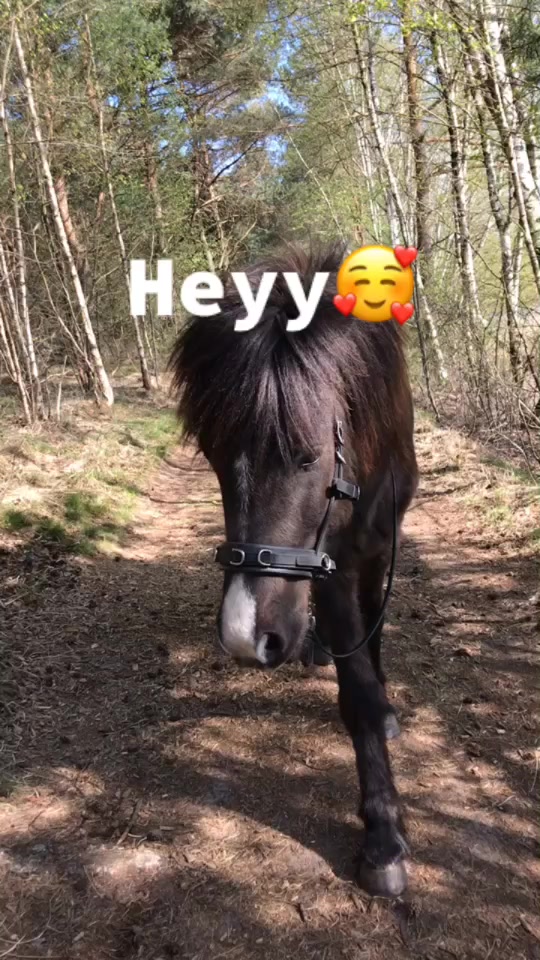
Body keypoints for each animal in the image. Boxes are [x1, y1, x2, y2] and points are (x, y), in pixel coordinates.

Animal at [170, 245, 419, 897]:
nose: (245, 637)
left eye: (307, 457)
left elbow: (370, 657)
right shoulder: (326, 568)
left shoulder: (373, 553)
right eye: (213, 459)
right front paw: (382, 834)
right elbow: (355, 687)